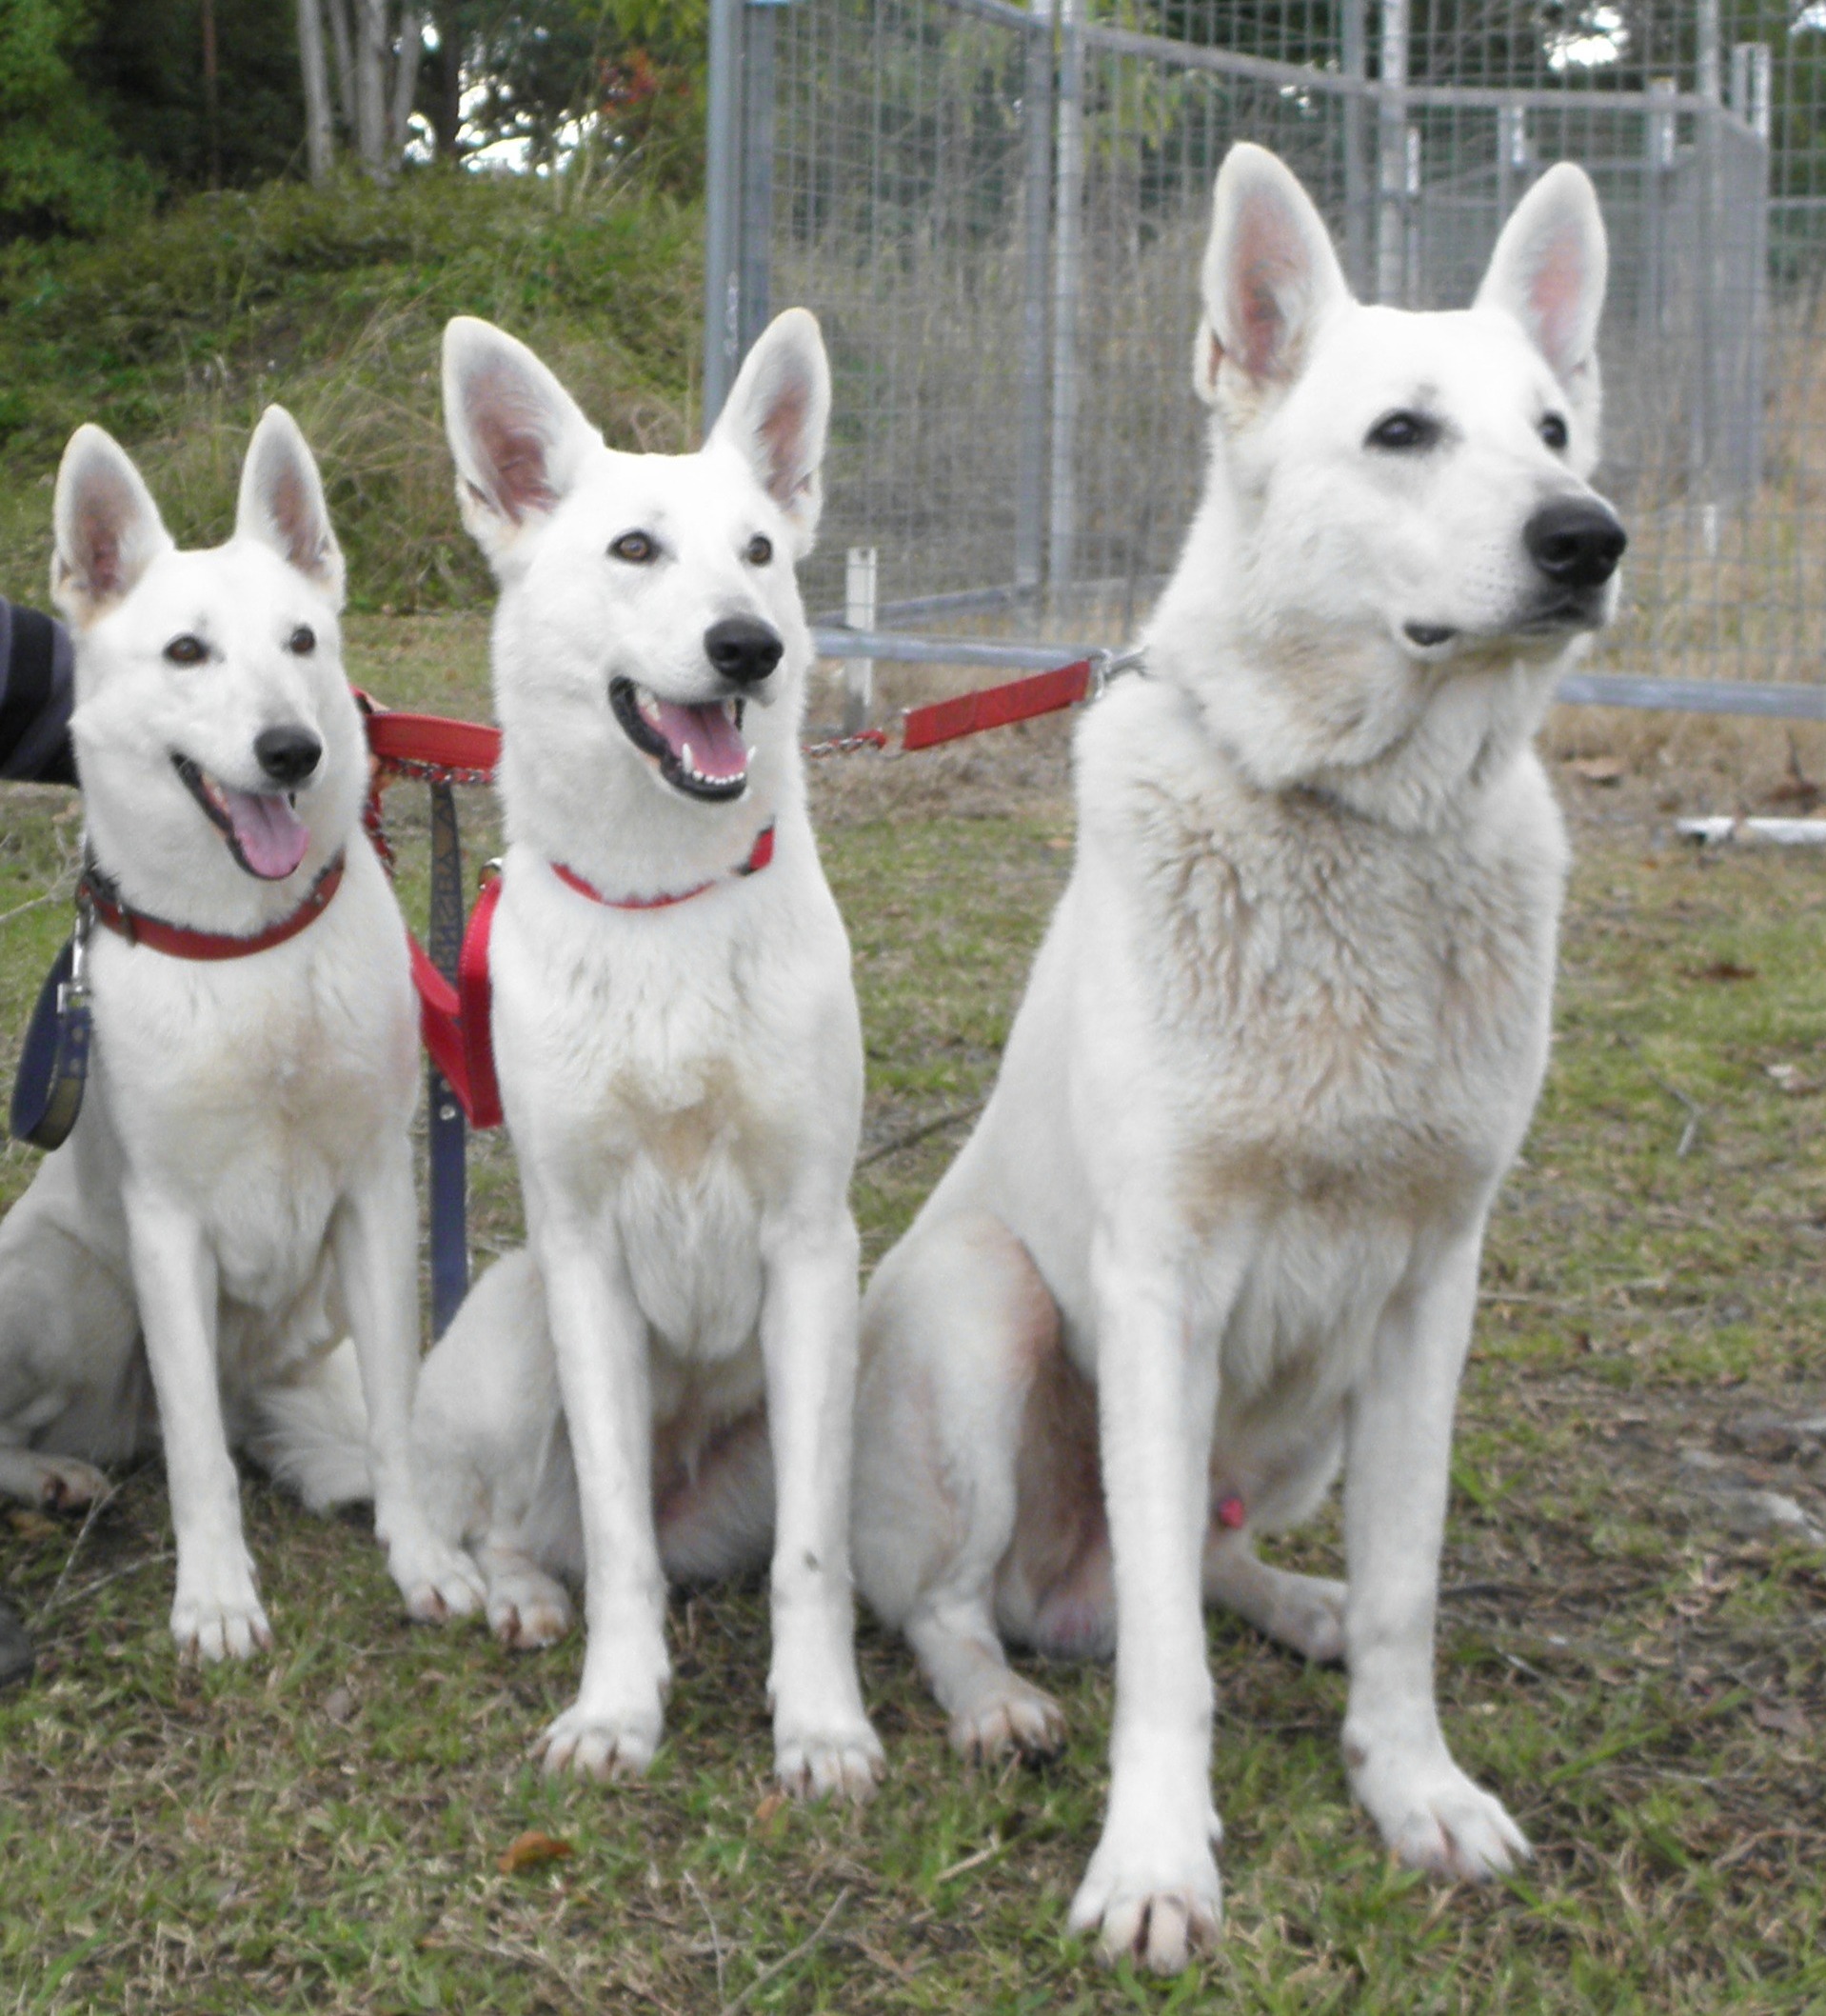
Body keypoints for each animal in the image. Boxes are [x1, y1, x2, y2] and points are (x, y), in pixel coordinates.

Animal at [0, 405, 484, 1652]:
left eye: (303, 641)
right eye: (186, 653)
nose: (290, 751)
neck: (252, 945)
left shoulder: (376, 1197)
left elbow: (402, 1421)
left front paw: (422, 1559)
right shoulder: (167, 1227)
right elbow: (196, 1462)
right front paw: (215, 1595)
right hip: (63, 1286)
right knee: (114, 1430)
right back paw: (56, 1474)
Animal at [394, 310, 886, 1798]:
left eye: (761, 552)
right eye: (633, 549)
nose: (749, 649)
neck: (664, 902)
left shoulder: (810, 1249)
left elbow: (811, 1554)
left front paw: (821, 1722)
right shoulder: (584, 1257)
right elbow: (615, 1545)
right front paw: (618, 1708)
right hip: (514, 1333)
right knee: (498, 1521)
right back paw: (499, 1590)